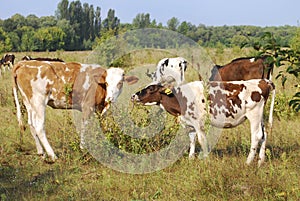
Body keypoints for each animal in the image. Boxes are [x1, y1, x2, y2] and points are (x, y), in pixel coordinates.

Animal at [132, 79, 276, 166]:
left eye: (151, 89)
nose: (134, 95)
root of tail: (263, 81)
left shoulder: (198, 123)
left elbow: (202, 140)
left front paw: (205, 159)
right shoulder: (189, 124)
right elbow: (192, 140)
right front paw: (191, 159)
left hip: (254, 115)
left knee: (256, 136)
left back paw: (248, 161)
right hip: (260, 116)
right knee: (264, 135)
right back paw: (260, 161)